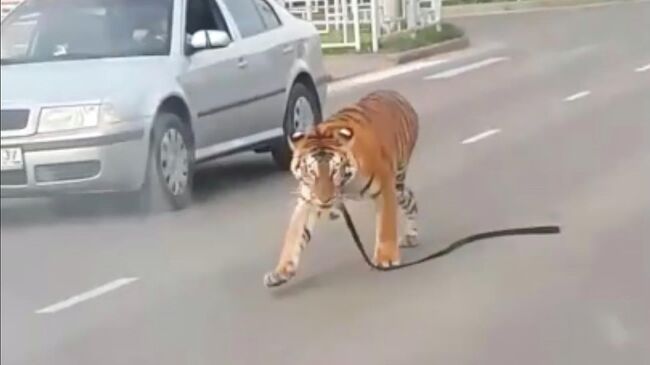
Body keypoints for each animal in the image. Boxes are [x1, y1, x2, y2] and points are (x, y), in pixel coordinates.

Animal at [264, 89, 420, 286]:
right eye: (310, 172)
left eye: (334, 171)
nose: (324, 200)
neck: (346, 185)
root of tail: (393, 93)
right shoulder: (308, 199)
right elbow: (294, 235)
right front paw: (280, 271)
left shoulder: (385, 186)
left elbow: (386, 224)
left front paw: (386, 258)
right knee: (410, 196)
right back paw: (411, 235)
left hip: (397, 179)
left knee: (407, 197)